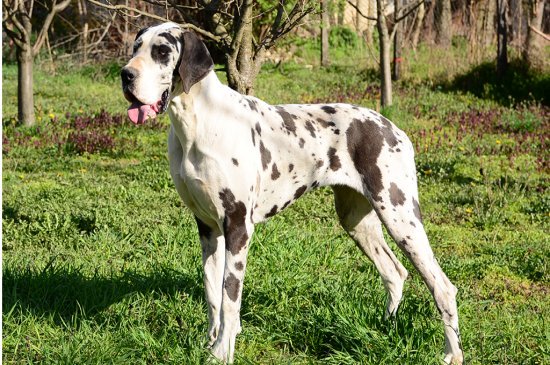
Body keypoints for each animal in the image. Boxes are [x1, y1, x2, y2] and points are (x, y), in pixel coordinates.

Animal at [122, 23, 466, 364]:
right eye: (136, 47)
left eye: (162, 52)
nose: (125, 75)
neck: (197, 122)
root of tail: (393, 128)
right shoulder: (207, 228)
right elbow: (212, 293)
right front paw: (211, 341)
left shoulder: (237, 227)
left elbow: (230, 297)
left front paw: (221, 352)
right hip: (357, 221)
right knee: (394, 272)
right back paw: (385, 329)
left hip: (400, 216)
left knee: (443, 287)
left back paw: (452, 353)